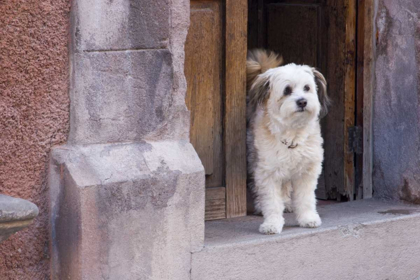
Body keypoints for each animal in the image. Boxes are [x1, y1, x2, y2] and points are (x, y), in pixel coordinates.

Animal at [246, 48, 332, 234]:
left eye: (307, 88)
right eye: (287, 90)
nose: (302, 101)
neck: (293, 134)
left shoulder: (307, 171)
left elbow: (306, 199)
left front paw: (308, 218)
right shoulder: (268, 172)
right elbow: (272, 201)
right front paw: (272, 223)